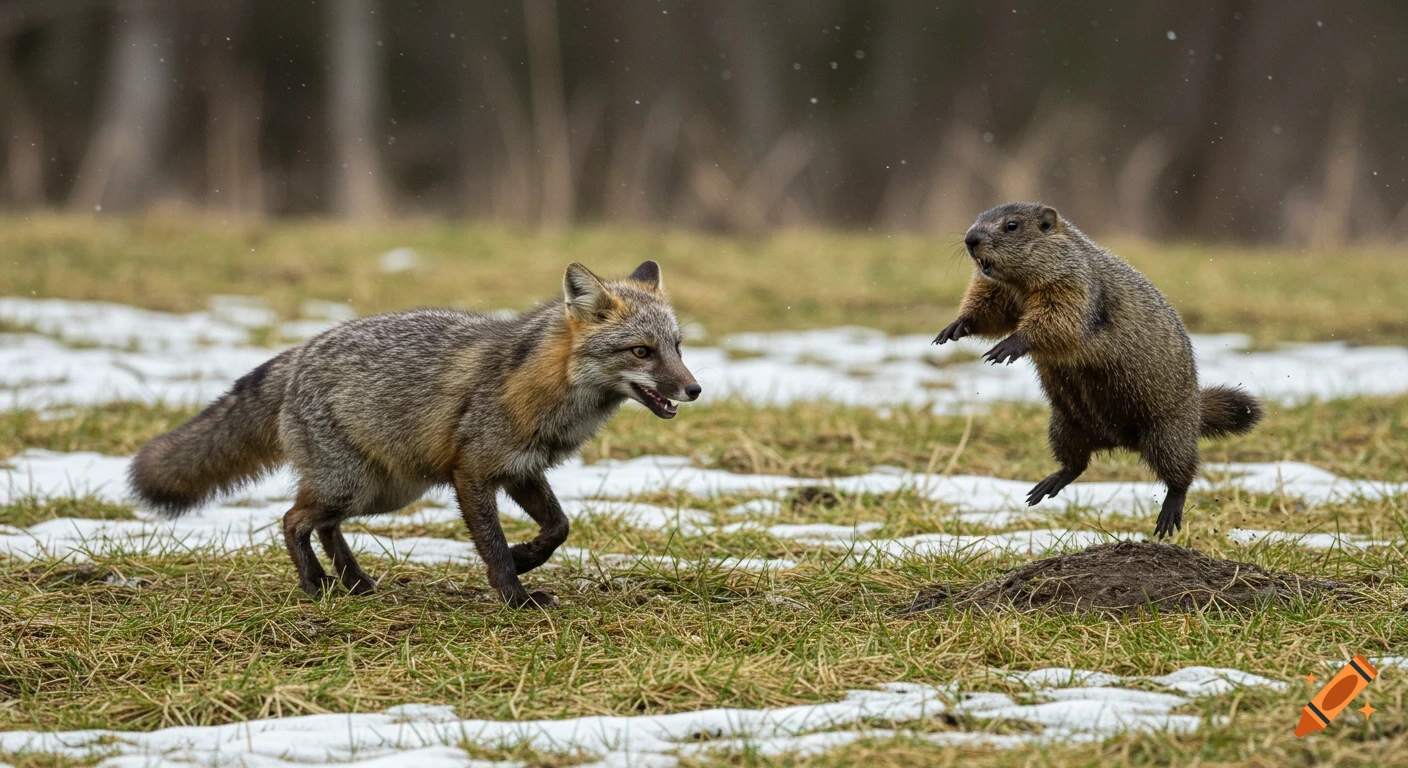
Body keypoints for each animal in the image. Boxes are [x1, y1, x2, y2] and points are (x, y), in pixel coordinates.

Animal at [129, 261, 700, 607]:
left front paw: (526, 558)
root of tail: (303, 349)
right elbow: (492, 544)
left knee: (324, 526)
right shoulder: (472, 473)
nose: (694, 388)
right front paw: (514, 594)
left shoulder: (520, 469)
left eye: (677, 346)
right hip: (355, 486)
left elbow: (559, 528)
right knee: (294, 520)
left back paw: (355, 583)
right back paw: (315, 584)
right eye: (642, 351)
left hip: (385, 492)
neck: (548, 387)